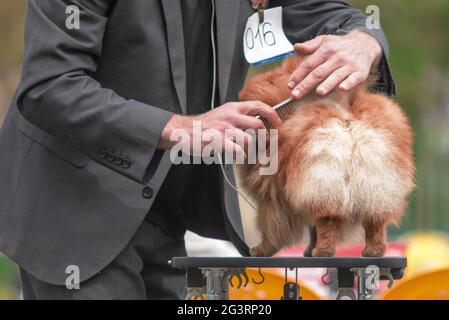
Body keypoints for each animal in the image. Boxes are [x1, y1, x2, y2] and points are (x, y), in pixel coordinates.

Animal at [238, 56, 412, 258]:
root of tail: (345, 117)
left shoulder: (272, 199)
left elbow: (272, 228)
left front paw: (261, 249)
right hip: (374, 188)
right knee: (374, 223)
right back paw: (372, 251)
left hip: (323, 183)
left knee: (328, 222)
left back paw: (323, 251)